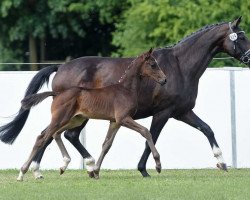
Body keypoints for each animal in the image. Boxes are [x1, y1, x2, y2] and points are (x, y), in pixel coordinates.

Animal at [16, 49, 167, 180]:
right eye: (153, 65)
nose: (164, 80)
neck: (125, 89)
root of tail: (57, 94)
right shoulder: (123, 118)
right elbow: (146, 131)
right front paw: (158, 165)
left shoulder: (115, 122)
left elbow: (106, 144)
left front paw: (96, 171)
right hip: (60, 119)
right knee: (42, 138)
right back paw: (22, 173)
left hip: (74, 120)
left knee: (56, 134)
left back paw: (63, 165)